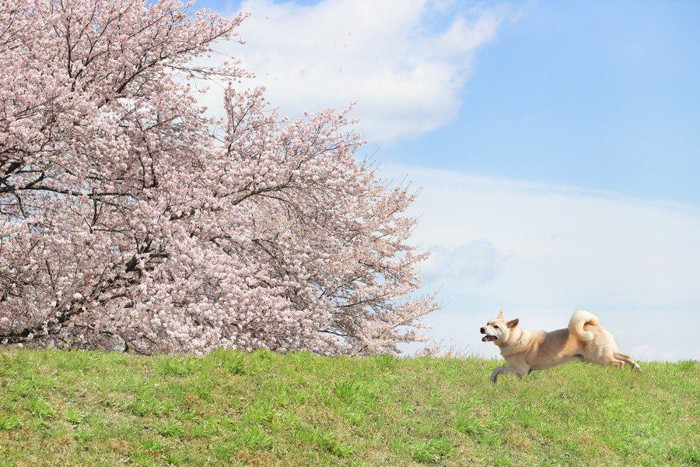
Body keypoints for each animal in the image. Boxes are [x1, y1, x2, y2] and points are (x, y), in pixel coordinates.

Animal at [482, 308, 640, 382]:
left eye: (496, 327)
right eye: (487, 323)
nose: (481, 329)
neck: (514, 338)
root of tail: (594, 324)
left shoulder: (521, 370)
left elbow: (501, 368)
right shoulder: (519, 371)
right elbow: (497, 369)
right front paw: (493, 379)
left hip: (600, 357)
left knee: (619, 363)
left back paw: (619, 374)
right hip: (607, 352)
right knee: (627, 357)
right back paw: (637, 369)